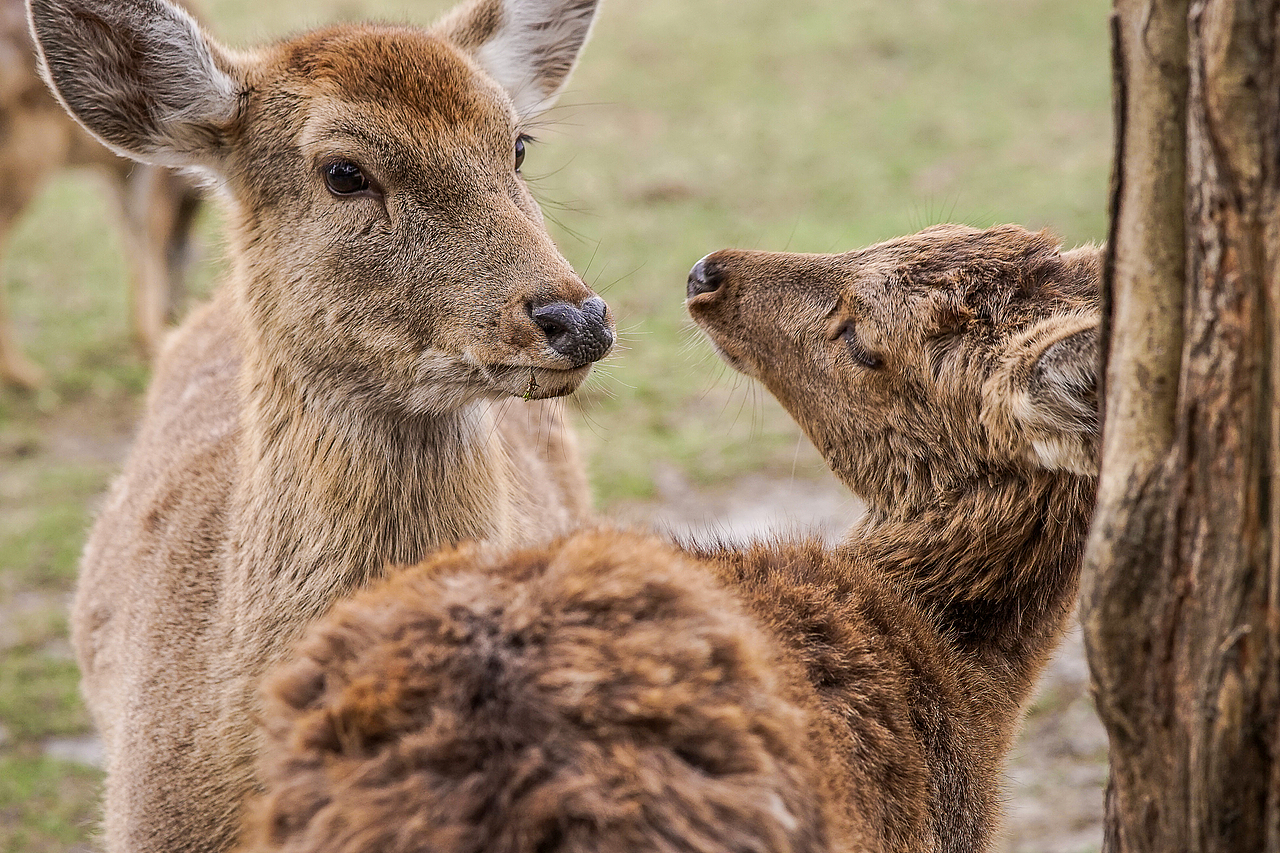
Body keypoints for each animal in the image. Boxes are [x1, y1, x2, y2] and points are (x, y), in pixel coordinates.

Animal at [0, 0, 201, 388]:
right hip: (28, 153)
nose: (178, 311)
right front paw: (153, 344)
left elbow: (130, 233)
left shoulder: (118, 172)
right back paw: (27, 376)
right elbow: (146, 232)